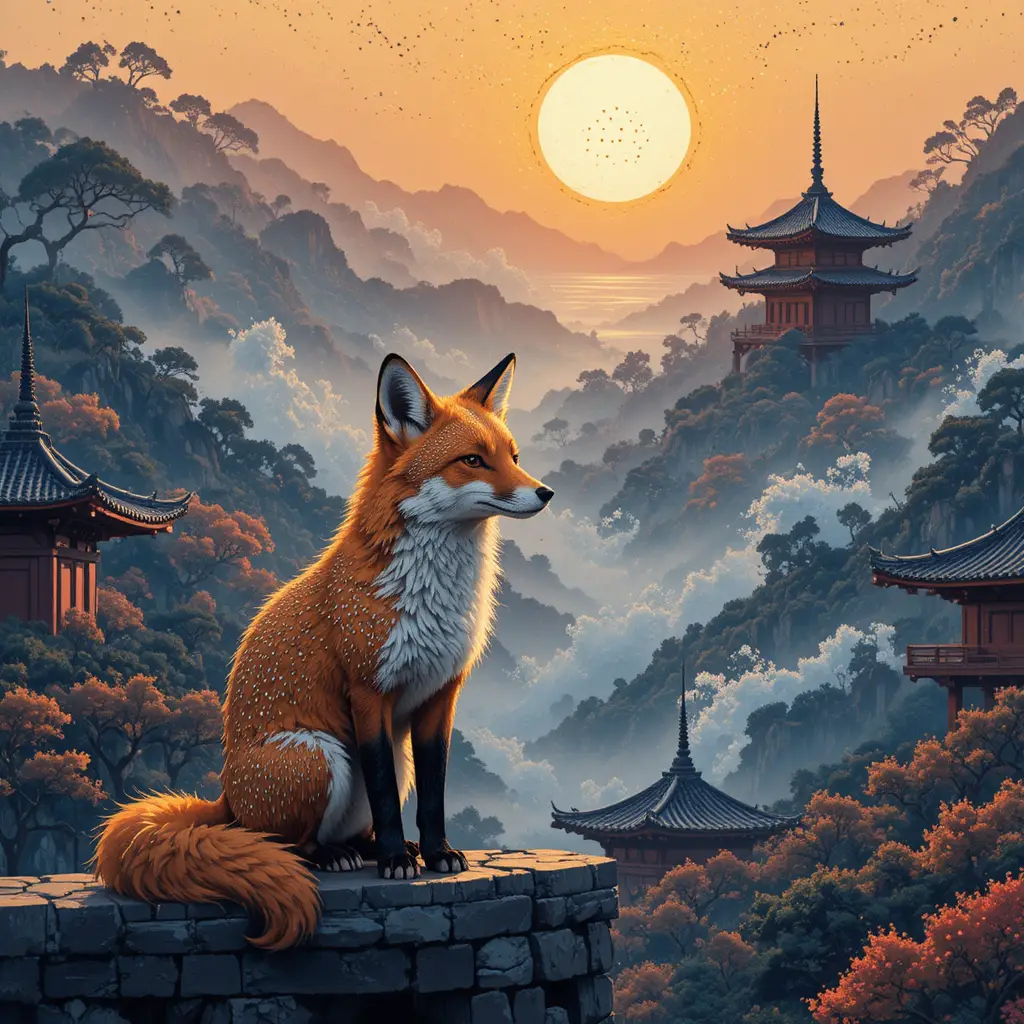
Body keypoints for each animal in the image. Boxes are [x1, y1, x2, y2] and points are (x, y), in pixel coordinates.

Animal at [94, 351, 553, 950]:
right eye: (473, 460)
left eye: (513, 457)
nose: (545, 492)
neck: (429, 592)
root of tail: (226, 798)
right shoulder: (368, 690)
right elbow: (384, 792)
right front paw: (395, 863)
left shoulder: (441, 695)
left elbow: (433, 791)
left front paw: (435, 854)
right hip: (318, 755)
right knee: (284, 844)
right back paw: (337, 855)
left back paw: (367, 847)